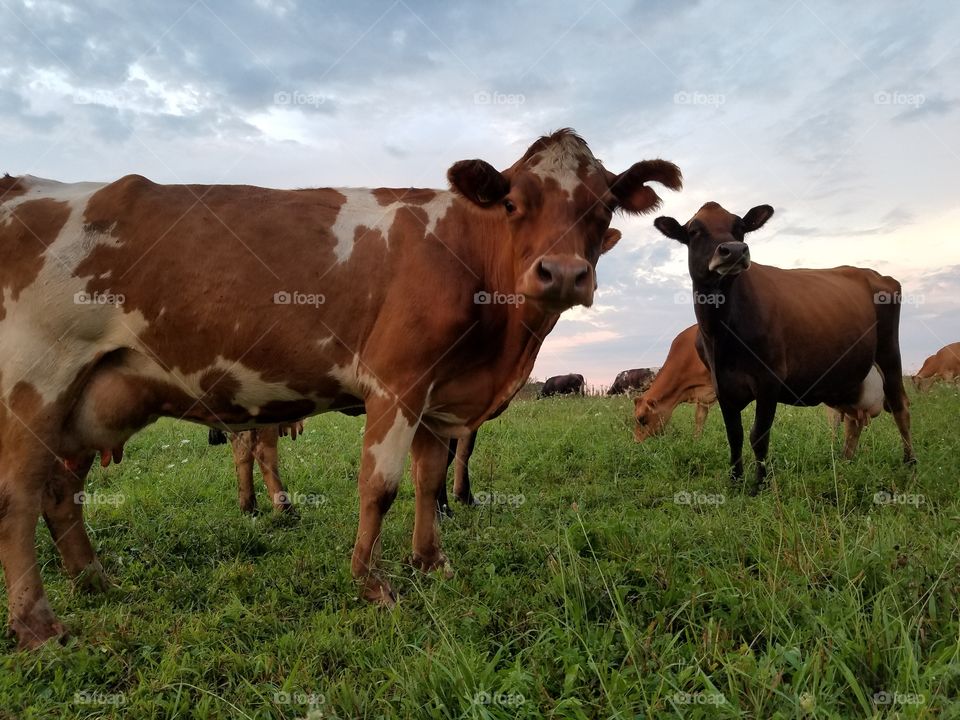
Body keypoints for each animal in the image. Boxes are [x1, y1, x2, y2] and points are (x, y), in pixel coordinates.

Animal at [0, 129, 684, 648]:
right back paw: (38, 625)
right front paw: (371, 583)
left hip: (92, 397)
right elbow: (380, 487)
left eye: (603, 209)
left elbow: (429, 479)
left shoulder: (438, 396)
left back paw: (95, 581)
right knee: (19, 496)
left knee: (61, 491)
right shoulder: (397, 380)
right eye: (514, 202)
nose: (563, 273)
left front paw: (431, 563)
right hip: (36, 378)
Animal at [652, 202, 916, 496]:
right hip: (848, 377)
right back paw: (845, 462)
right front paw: (735, 482)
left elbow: (759, 434)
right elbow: (734, 435)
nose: (734, 250)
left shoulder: (769, 379)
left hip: (889, 354)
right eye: (694, 230)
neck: (723, 334)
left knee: (900, 406)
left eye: (740, 227)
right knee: (854, 419)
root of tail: (873, 274)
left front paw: (760, 485)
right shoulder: (722, 385)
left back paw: (909, 462)